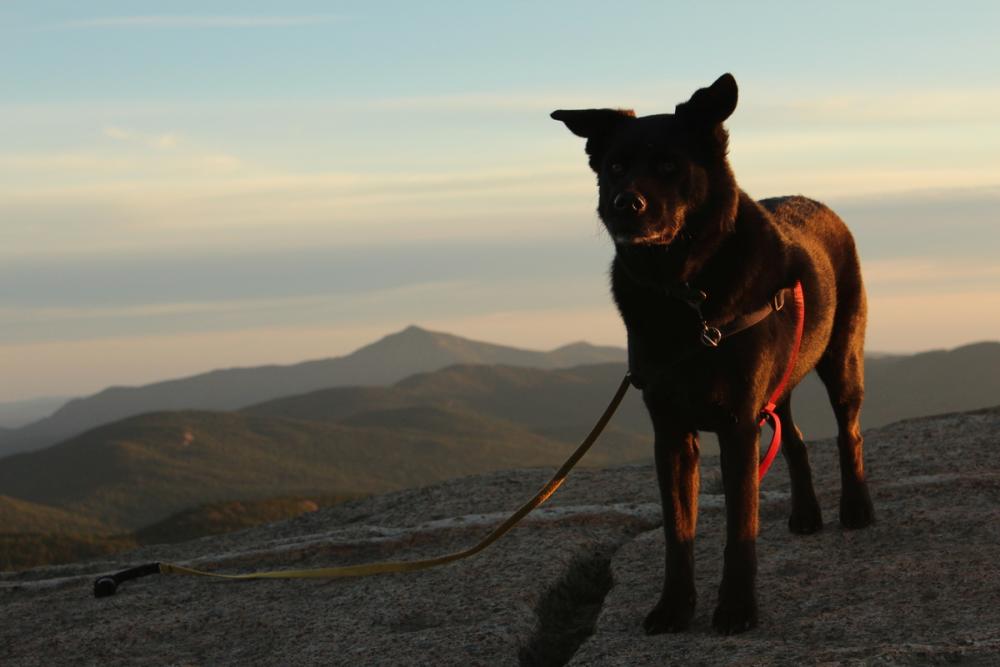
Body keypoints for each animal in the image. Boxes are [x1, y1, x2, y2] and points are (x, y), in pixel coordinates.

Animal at [552, 74, 872, 636]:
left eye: (668, 165)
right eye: (615, 166)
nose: (623, 203)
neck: (682, 293)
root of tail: (817, 202)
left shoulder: (737, 426)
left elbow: (740, 531)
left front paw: (737, 609)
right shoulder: (671, 433)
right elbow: (677, 534)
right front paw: (674, 608)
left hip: (842, 360)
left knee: (847, 431)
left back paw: (856, 507)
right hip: (779, 387)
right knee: (795, 441)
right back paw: (806, 514)